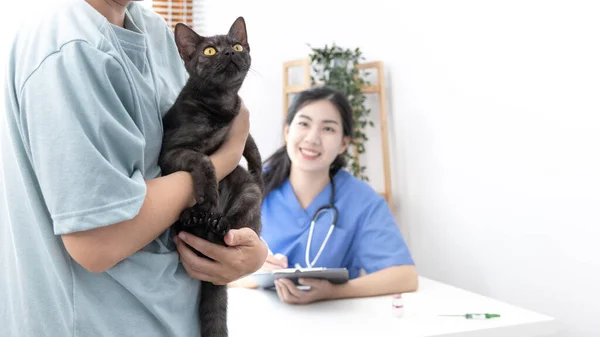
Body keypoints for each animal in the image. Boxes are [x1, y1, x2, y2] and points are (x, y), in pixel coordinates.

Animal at [157, 17, 262, 336]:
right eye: (210, 50)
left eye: (237, 46)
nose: (228, 53)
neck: (221, 106)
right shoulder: (173, 150)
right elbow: (205, 161)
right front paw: (209, 195)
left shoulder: (239, 122)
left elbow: (252, 147)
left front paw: (260, 170)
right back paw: (196, 216)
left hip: (249, 197)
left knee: (233, 222)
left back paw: (217, 220)